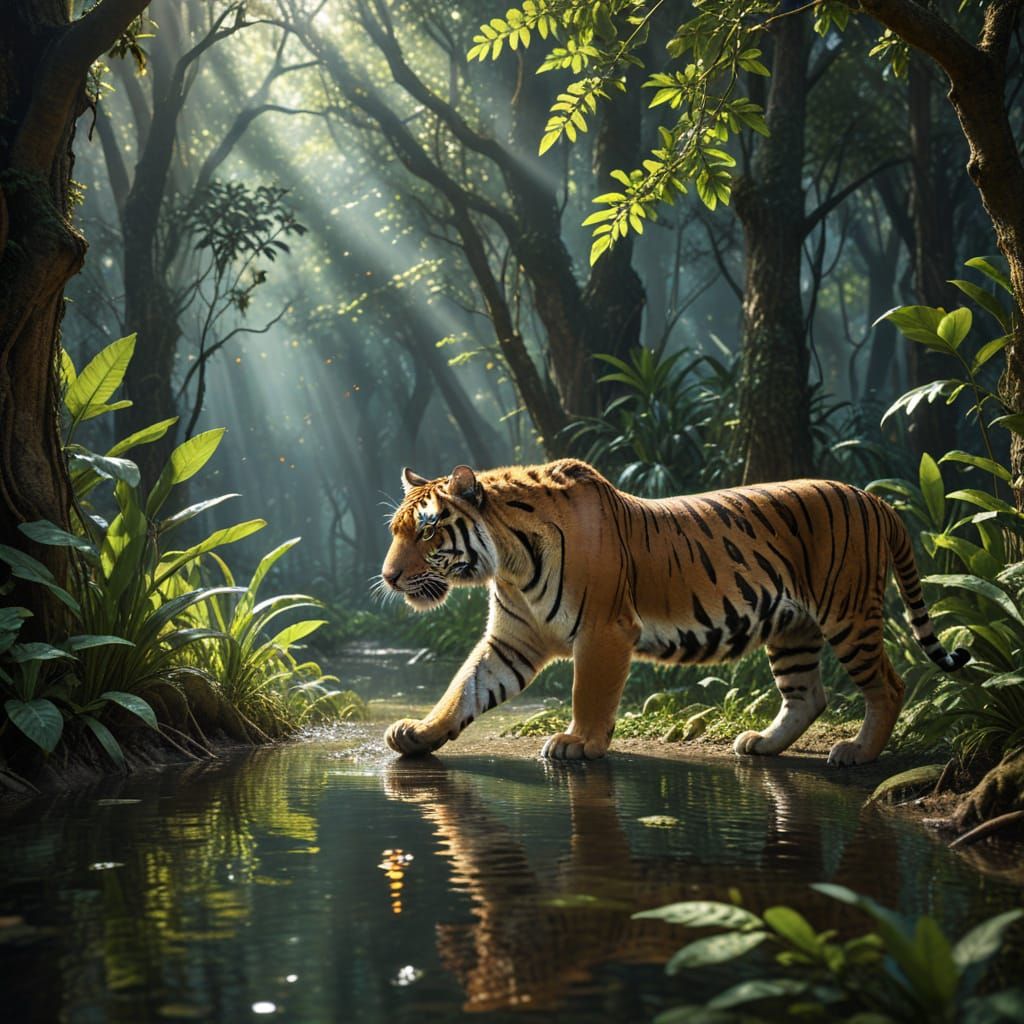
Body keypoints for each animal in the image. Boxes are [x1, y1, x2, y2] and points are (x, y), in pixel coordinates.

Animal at [380, 459, 969, 766]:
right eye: (396, 530)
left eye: (427, 532)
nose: (387, 577)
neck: (507, 562)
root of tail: (876, 499)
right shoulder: (512, 639)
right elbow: (464, 687)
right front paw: (419, 733)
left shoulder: (604, 630)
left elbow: (589, 691)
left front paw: (577, 743)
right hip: (793, 628)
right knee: (808, 695)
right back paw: (762, 744)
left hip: (847, 614)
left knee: (889, 686)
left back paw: (858, 752)